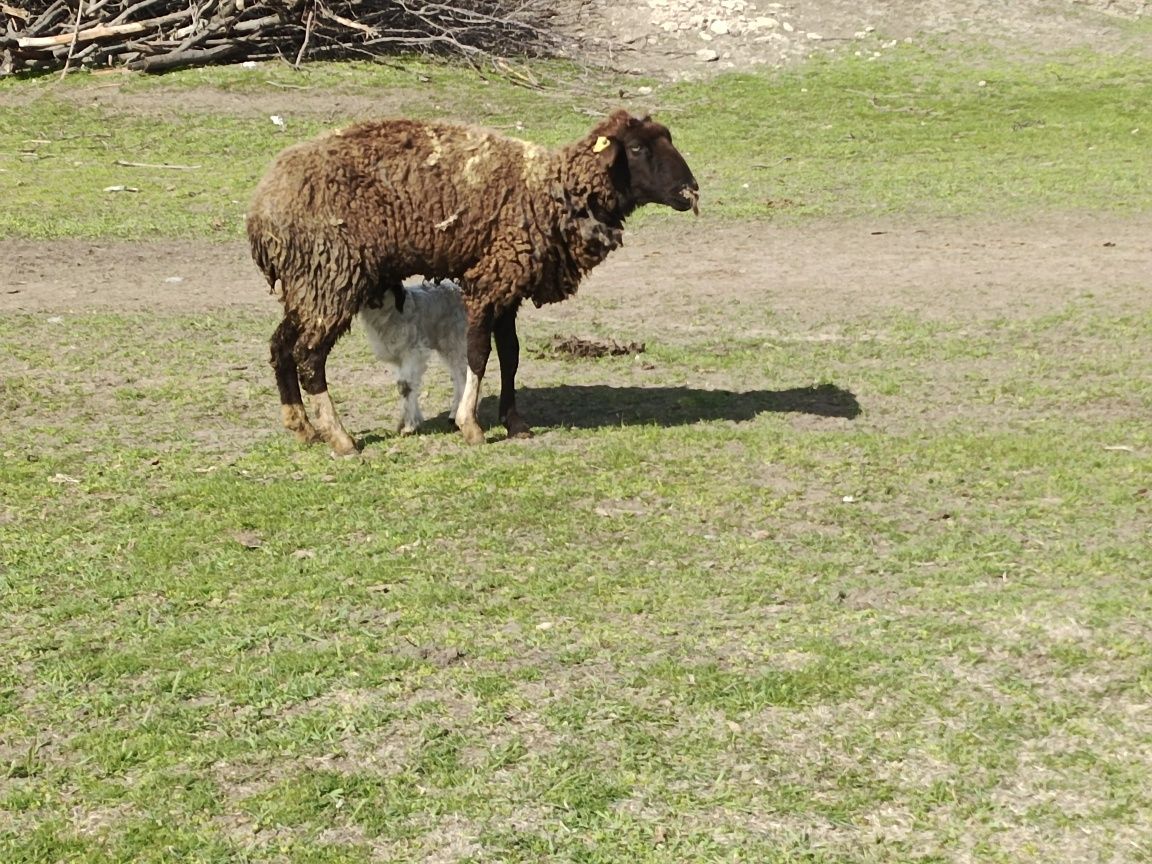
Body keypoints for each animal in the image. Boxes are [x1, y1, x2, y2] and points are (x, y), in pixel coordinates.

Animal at [359, 281, 467, 435]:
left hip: (456, 340)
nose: (373, 300)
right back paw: (453, 415)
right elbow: (407, 384)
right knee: (457, 376)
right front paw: (411, 420)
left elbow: (406, 386)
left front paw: (409, 425)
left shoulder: (414, 351)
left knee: (462, 374)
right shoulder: (400, 359)